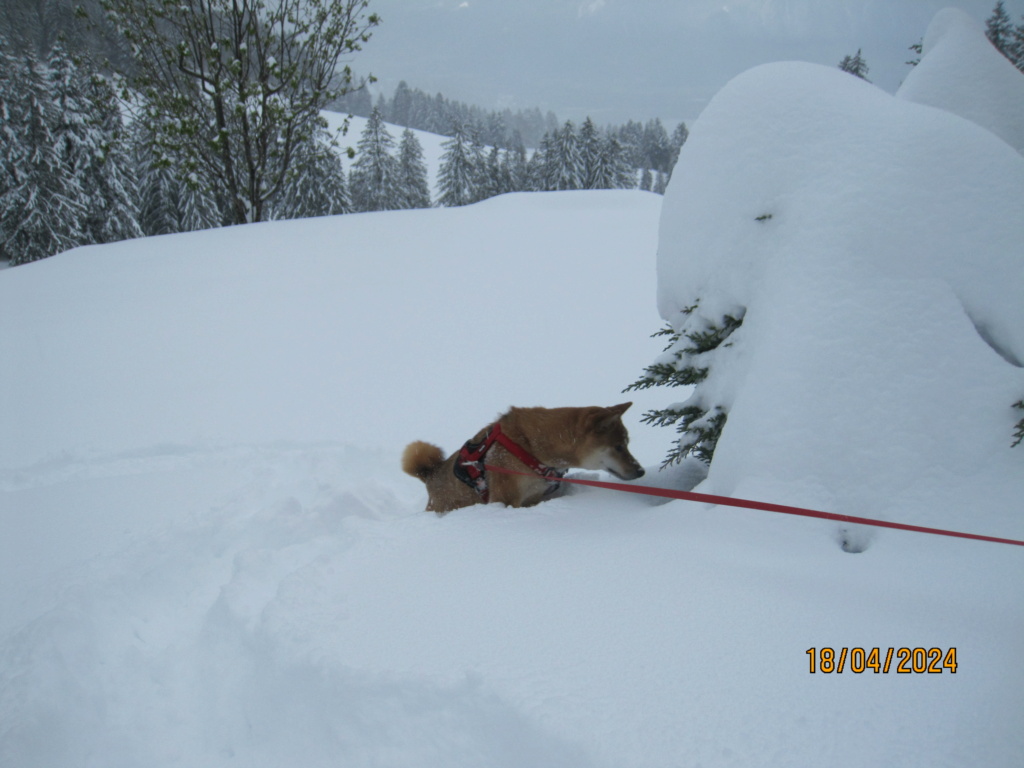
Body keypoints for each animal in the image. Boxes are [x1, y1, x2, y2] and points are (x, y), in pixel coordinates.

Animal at [403, 403, 643, 518]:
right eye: (619, 446)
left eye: (627, 443)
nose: (641, 471)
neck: (532, 448)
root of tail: (429, 475)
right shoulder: (505, 499)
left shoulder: (534, 497)